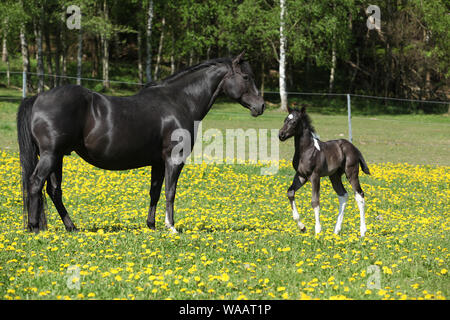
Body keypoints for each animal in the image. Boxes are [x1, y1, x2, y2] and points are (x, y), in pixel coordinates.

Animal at [16, 52, 264, 232]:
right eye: (246, 77)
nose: (260, 106)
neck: (179, 101)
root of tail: (37, 97)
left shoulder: (158, 162)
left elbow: (155, 192)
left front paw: (151, 225)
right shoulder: (174, 159)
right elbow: (170, 191)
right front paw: (171, 227)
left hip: (57, 156)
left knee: (53, 191)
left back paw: (71, 227)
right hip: (50, 155)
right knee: (36, 184)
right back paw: (35, 227)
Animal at [280, 107, 370, 238]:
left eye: (294, 122)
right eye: (285, 119)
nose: (281, 135)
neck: (306, 150)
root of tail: (354, 148)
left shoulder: (315, 176)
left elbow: (315, 201)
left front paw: (317, 230)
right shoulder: (301, 176)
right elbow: (290, 192)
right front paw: (302, 227)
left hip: (351, 173)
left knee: (359, 195)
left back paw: (362, 231)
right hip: (334, 176)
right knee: (343, 195)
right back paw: (336, 230)